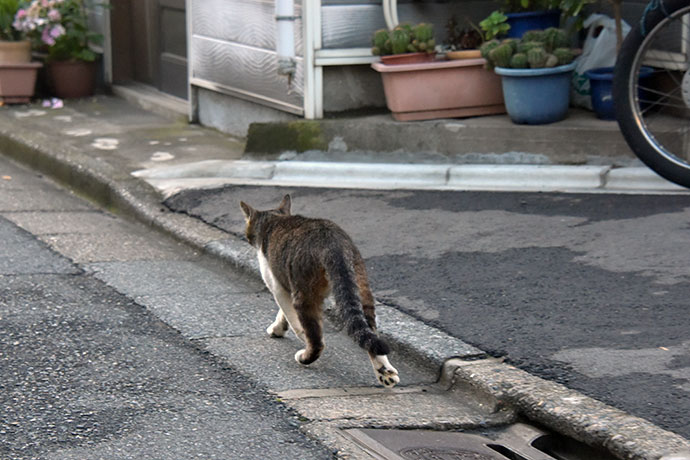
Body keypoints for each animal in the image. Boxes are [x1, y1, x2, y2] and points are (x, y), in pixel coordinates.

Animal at [239, 195, 398, 388]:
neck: (274, 219)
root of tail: (333, 243)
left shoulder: (277, 285)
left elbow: (293, 320)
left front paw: (293, 333)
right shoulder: (286, 285)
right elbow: (283, 315)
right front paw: (279, 328)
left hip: (305, 292)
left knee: (317, 340)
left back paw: (305, 356)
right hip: (360, 288)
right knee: (370, 332)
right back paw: (385, 372)